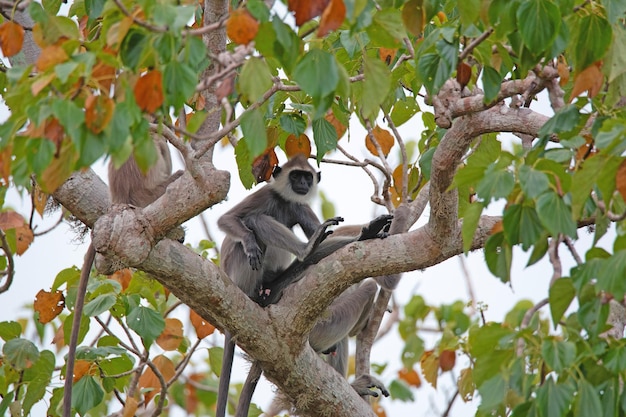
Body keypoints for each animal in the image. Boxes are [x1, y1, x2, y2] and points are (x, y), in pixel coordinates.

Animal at [214, 154, 342, 416]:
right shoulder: (264, 194)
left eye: (307, 177)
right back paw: (303, 250)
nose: (302, 184)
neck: (283, 200)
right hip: (240, 273)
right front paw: (249, 241)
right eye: (296, 176)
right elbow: (227, 219)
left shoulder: (299, 205)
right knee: (256, 219)